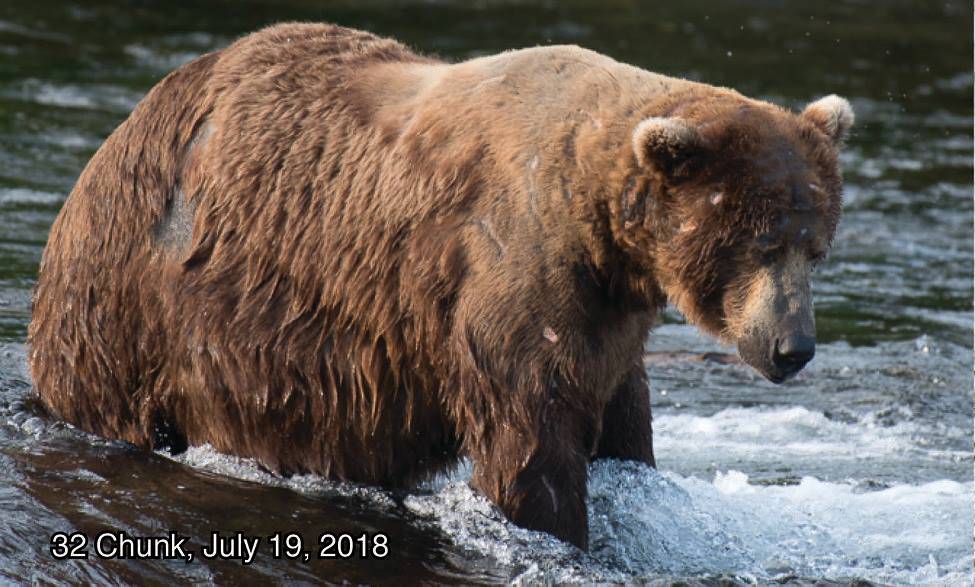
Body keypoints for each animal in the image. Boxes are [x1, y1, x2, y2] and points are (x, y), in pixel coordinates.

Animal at [28, 21, 856, 548]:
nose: (792, 346)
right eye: (760, 243)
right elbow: (530, 441)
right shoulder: (512, 271)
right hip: (132, 303)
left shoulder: (609, 313)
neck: (599, 227)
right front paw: (556, 524)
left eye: (815, 247)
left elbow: (621, 422)